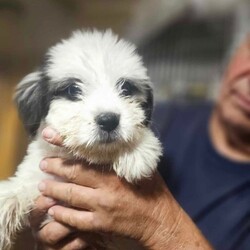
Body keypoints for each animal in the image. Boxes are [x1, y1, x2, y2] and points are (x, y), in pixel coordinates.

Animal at [0, 30, 162, 249]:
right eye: (72, 90)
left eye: (126, 88)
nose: (109, 120)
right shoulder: (42, 182)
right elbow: (18, 189)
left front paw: (136, 151)